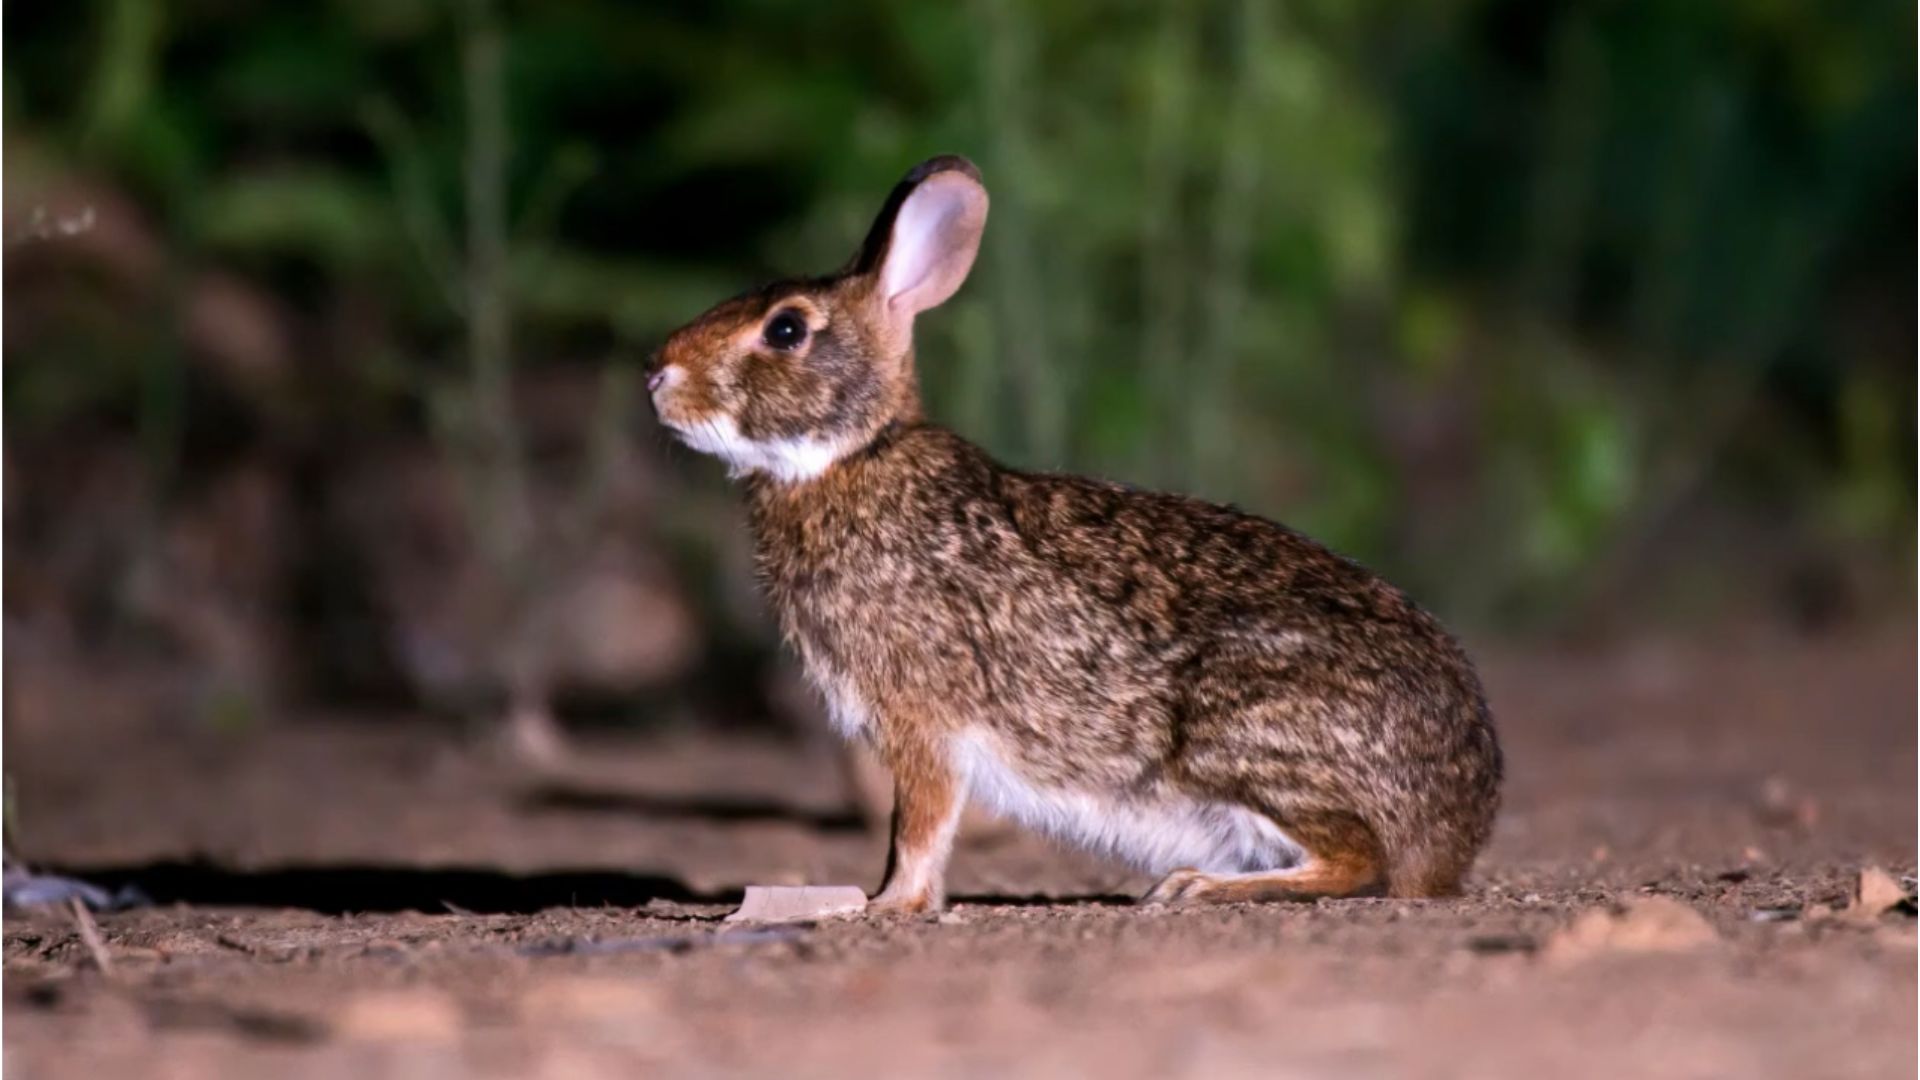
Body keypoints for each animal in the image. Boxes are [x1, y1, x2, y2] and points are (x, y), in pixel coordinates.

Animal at [647, 155, 1501, 915]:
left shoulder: (923, 719)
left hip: (1241, 734)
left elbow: (918, 825)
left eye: (786, 328)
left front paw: (885, 904)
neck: (854, 454)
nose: (657, 376)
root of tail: (1457, 825)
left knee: (1362, 858)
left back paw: (1197, 887)